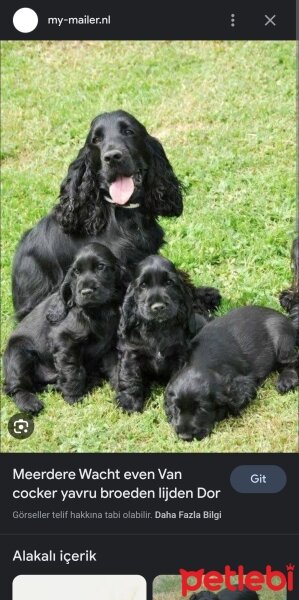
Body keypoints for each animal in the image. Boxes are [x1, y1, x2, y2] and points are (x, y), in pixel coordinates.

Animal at [116, 253, 210, 412]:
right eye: (143, 285)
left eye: (169, 282)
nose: (158, 307)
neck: (157, 329)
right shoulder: (132, 352)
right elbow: (130, 377)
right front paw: (129, 403)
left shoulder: (179, 357)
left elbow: (174, 381)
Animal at [165, 304, 298, 440]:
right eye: (176, 408)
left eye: (202, 409)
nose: (184, 437)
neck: (201, 361)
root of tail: (289, 322)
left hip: (281, 340)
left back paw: (286, 381)